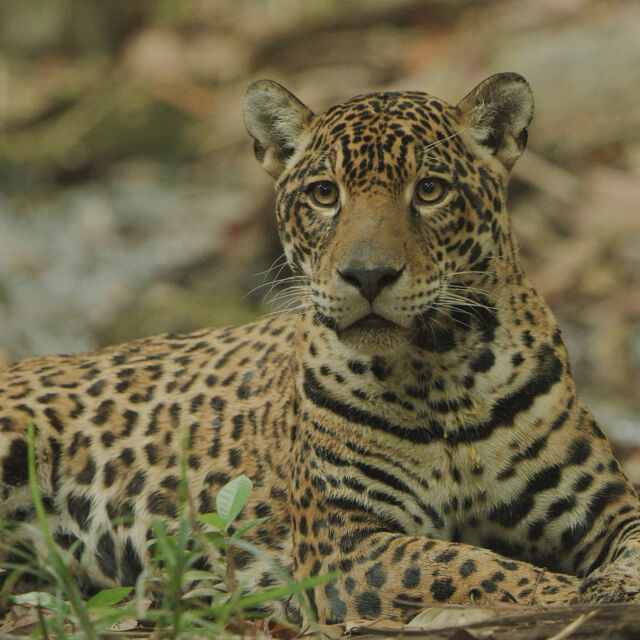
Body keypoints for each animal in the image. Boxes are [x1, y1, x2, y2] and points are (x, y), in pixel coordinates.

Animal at [1, 72, 640, 624]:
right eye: (325, 194)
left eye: (430, 190)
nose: (368, 275)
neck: (440, 372)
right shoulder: (344, 543)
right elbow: (466, 564)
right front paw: (570, 594)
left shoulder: (606, 507)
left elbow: (625, 551)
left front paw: (608, 588)